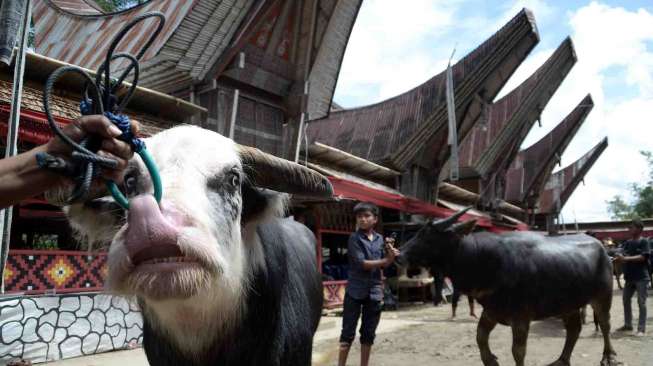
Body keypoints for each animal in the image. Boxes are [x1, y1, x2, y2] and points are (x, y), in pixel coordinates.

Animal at [398, 209, 616, 366]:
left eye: (429, 236)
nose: (400, 255)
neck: (484, 261)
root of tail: (603, 249)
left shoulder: (521, 316)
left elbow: (518, 351)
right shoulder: (491, 311)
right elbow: (480, 337)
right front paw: (490, 361)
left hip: (603, 296)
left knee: (605, 324)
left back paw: (609, 357)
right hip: (568, 304)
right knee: (573, 329)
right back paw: (561, 361)